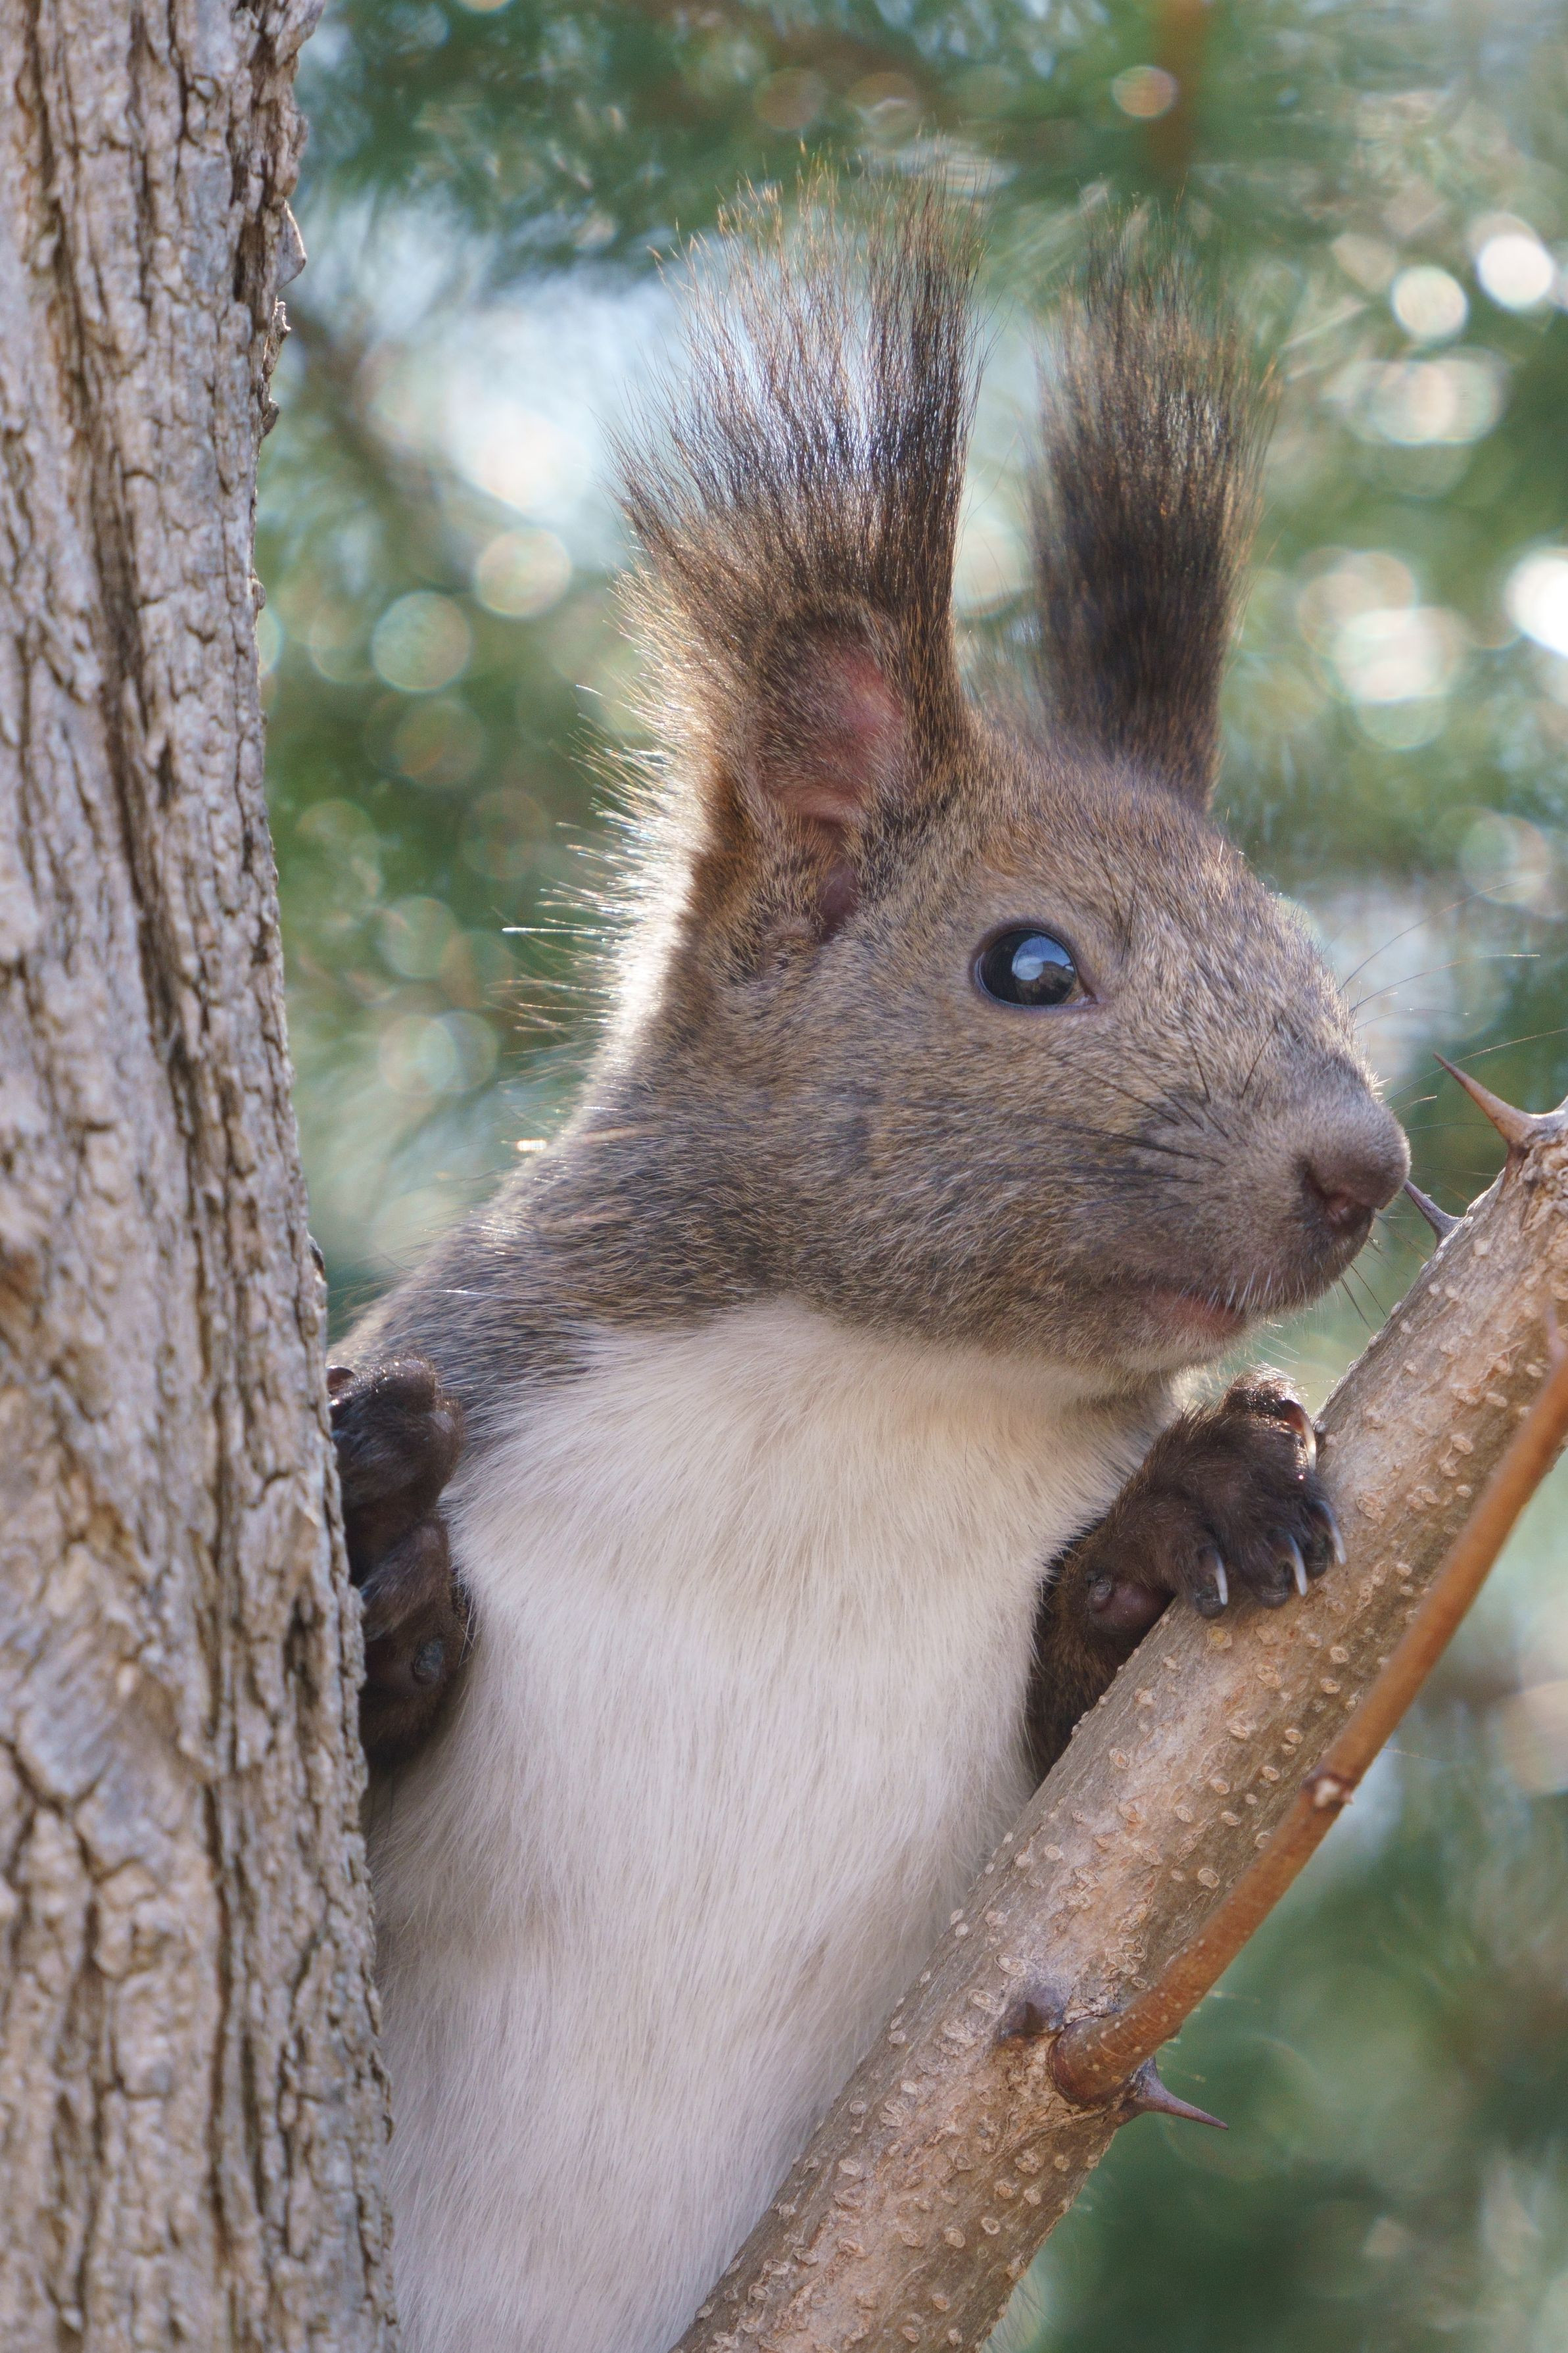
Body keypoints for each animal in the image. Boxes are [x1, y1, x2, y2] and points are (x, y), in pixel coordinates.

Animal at [327, 197, 1408, 2353]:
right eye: (1029, 964)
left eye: (1297, 947)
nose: (1367, 1165)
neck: (850, 1393)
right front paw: (377, 1542)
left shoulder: (1039, 1888)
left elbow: (1107, 1882)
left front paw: (1195, 1507)